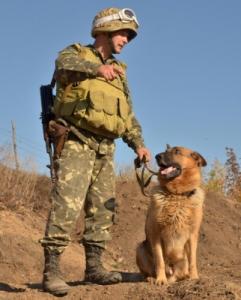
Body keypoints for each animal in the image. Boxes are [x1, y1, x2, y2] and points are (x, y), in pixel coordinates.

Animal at [137, 145, 206, 284]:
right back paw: (152, 278)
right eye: (166, 151)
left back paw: (183, 277)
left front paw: (194, 277)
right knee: (150, 271)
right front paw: (160, 280)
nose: (157, 156)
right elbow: (160, 261)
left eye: (177, 151)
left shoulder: (193, 235)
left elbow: (193, 260)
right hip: (140, 248)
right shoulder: (156, 233)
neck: (177, 195)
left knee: (181, 272)